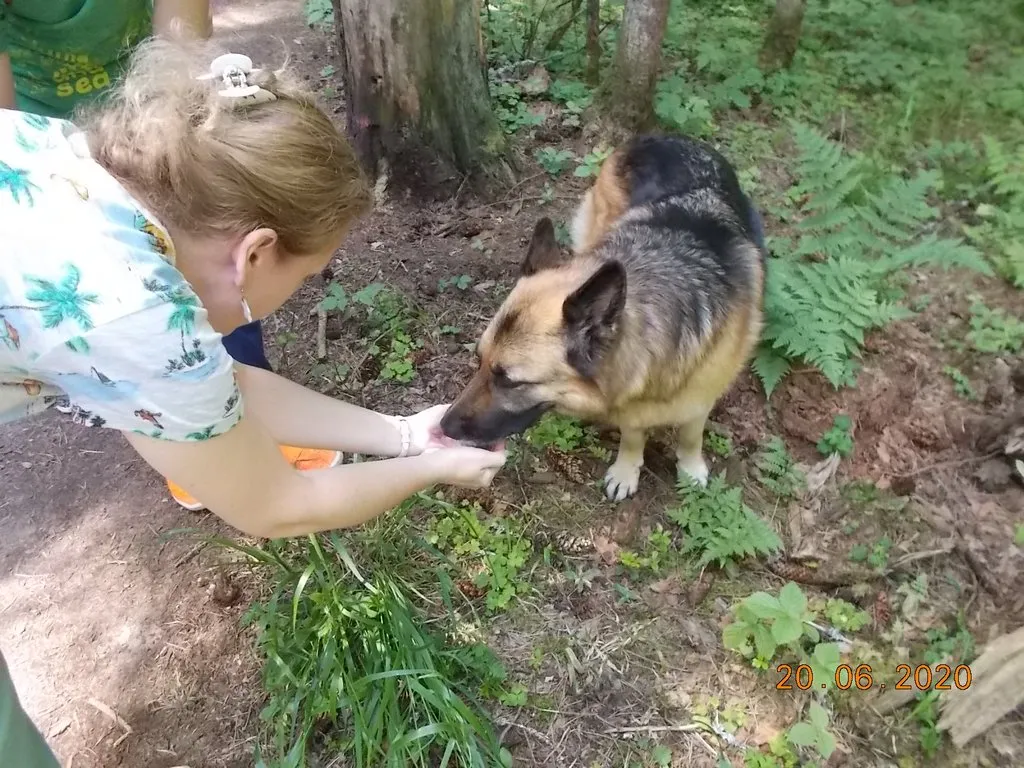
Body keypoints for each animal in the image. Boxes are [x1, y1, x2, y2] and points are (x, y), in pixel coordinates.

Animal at [440, 134, 766, 500]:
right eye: (478, 360)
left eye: (509, 381)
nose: (444, 426)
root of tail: (662, 136)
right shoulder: (629, 404)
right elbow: (633, 435)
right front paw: (627, 469)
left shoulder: (701, 396)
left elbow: (691, 434)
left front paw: (691, 467)